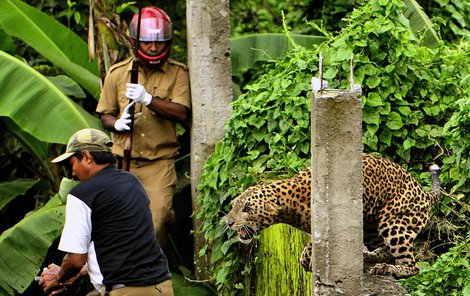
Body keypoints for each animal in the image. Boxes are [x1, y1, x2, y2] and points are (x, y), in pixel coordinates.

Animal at [227, 154, 440, 278]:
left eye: (247, 208)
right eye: (234, 205)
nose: (228, 222)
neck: (290, 204)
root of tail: (425, 193)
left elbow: (316, 244)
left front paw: (311, 260)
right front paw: (306, 259)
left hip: (394, 224)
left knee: (412, 266)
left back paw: (389, 269)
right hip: (371, 226)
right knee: (384, 249)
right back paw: (370, 257)